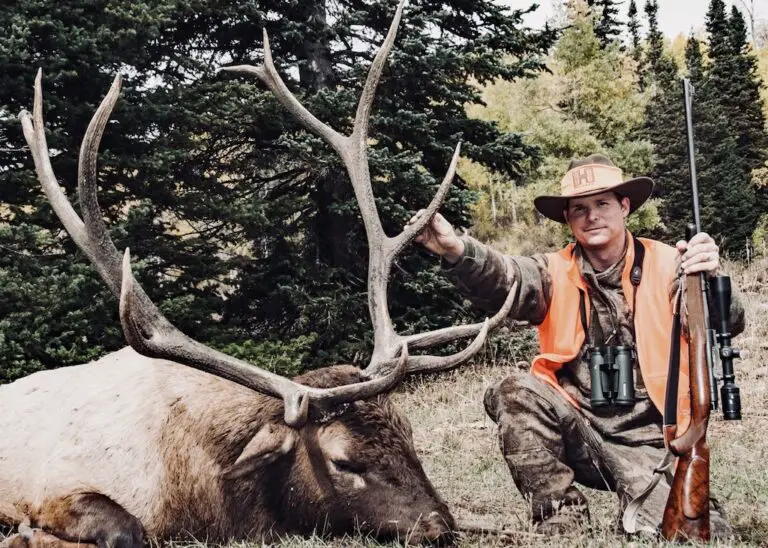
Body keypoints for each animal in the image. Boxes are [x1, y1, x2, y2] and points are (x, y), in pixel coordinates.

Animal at [0, 1, 518, 547]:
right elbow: (124, 527)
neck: (206, 501)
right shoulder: (57, 483)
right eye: (343, 461)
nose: (440, 526)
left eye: (410, 435)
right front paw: (26, 534)